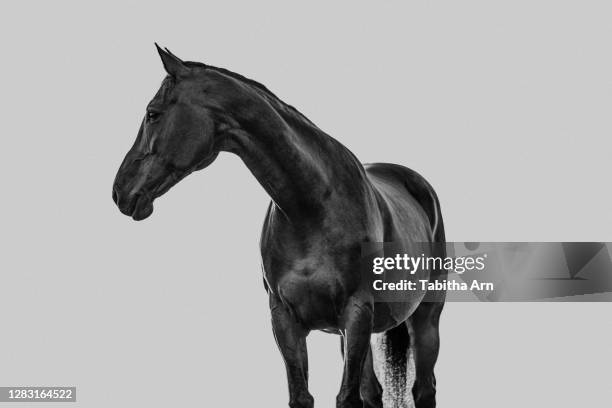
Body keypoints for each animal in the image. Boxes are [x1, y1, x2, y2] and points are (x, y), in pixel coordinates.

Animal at [113, 45, 444, 408]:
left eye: (152, 113)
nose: (120, 191)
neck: (311, 206)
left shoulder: (356, 312)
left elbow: (346, 398)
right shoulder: (286, 319)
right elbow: (301, 395)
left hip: (424, 319)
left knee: (424, 388)